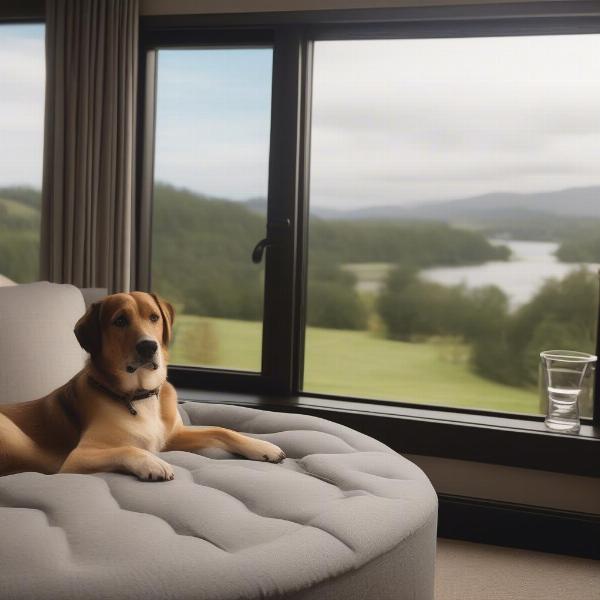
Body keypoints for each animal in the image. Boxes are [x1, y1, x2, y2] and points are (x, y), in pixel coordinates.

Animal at [0, 292, 286, 482]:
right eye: (119, 321)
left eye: (154, 317)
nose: (149, 346)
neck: (139, 397)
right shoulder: (77, 458)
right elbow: (129, 447)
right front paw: (153, 464)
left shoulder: (171, 436)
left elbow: (222, 430)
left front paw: (263, 447)